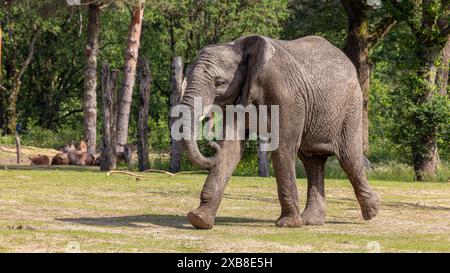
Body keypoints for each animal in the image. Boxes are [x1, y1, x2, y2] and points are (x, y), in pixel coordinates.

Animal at [179, 35, 380, 228]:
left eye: (219, 83)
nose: (211, 144)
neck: (240, 47)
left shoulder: (286, 97)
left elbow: (282, 148)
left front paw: (288, 224)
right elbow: (230, 147)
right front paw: (199, 220)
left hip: (351, 106)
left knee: (349, 159)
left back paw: (373, 210)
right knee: (312, 162)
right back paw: (311, 221)